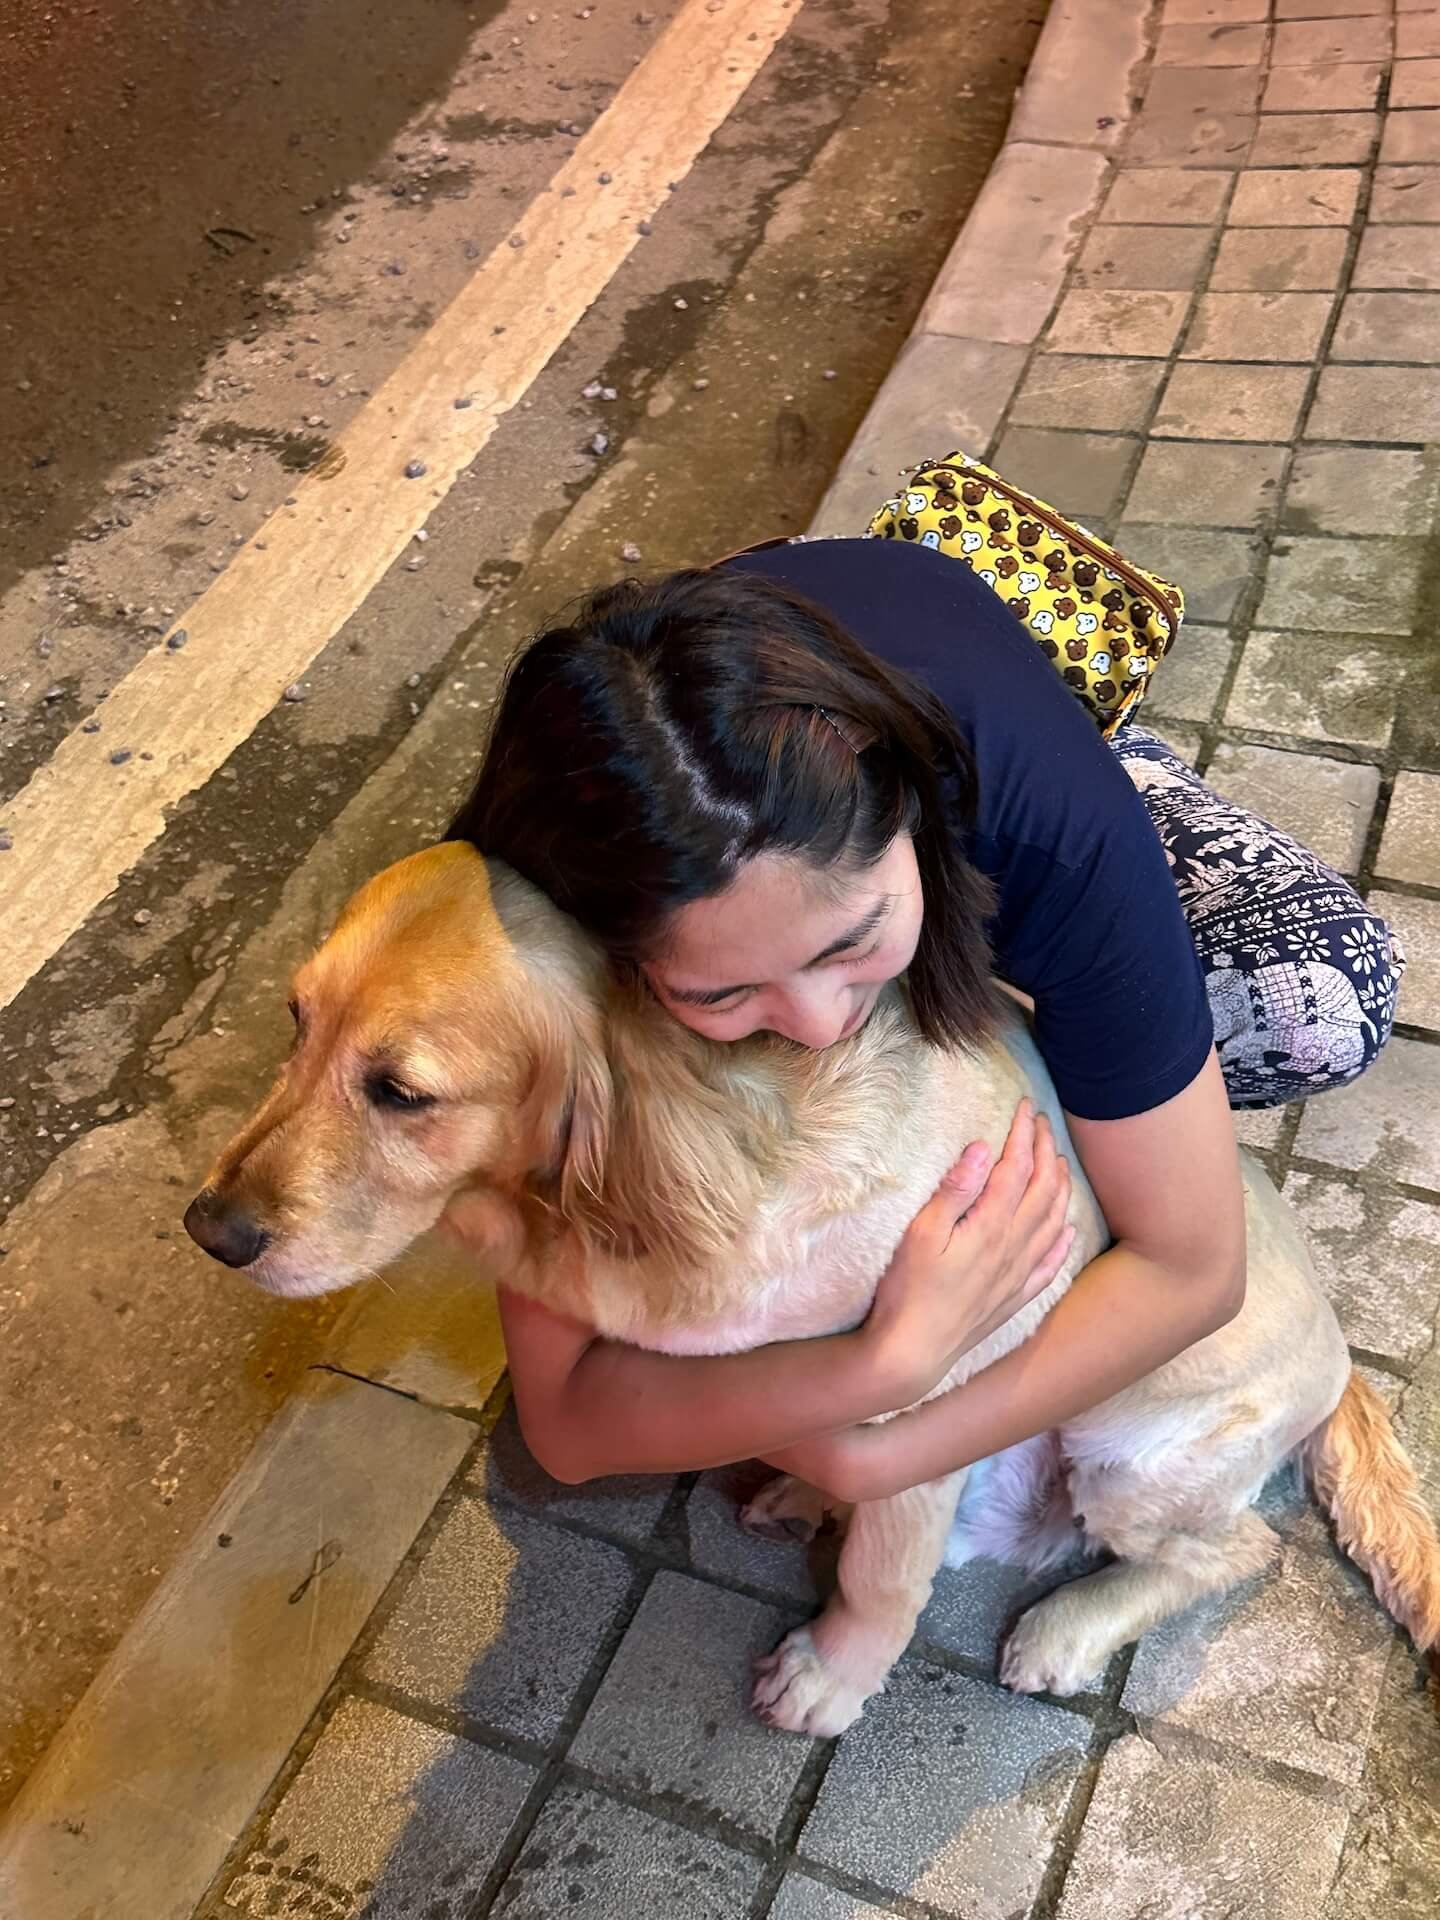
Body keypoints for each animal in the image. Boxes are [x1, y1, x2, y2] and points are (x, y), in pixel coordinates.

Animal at [189, 848, 1440, 1735]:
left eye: (402, 1092)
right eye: (295, 1022)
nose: (210, 1229)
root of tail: (1343, 1357)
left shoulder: (929, 1390)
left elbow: (884, 1574)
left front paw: (831, 1676)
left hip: (1132, 1458)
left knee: (1228, 1550)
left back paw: (1066, 1628)